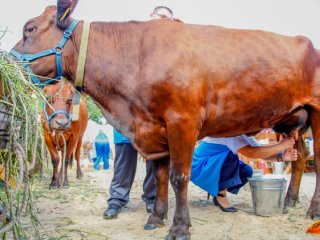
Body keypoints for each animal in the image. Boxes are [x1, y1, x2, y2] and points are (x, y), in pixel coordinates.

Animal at [11, 1, 320, 238]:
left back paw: (312, 210)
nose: (10, 62)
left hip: (317, 111)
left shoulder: (181, 121)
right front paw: (156, 218)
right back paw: (290, 201)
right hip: (291, 120)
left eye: (30, 28)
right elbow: (160, 176)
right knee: (300, 158)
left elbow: (178, 177)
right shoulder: (153, 128)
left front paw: (180, 227)